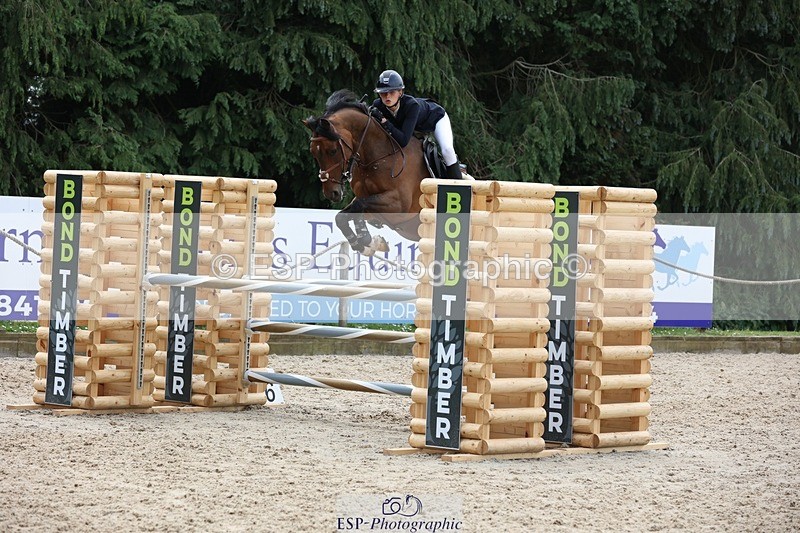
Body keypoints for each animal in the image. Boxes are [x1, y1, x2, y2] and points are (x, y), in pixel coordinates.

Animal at [302, 89, 429, 256]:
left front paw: (366, 239)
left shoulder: (399, 205)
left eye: (333, 150)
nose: (331, 193)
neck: (377, 157)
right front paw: (368, 244)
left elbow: (359, 206)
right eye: (313, 153)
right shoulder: (367, 201)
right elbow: (342, 217)